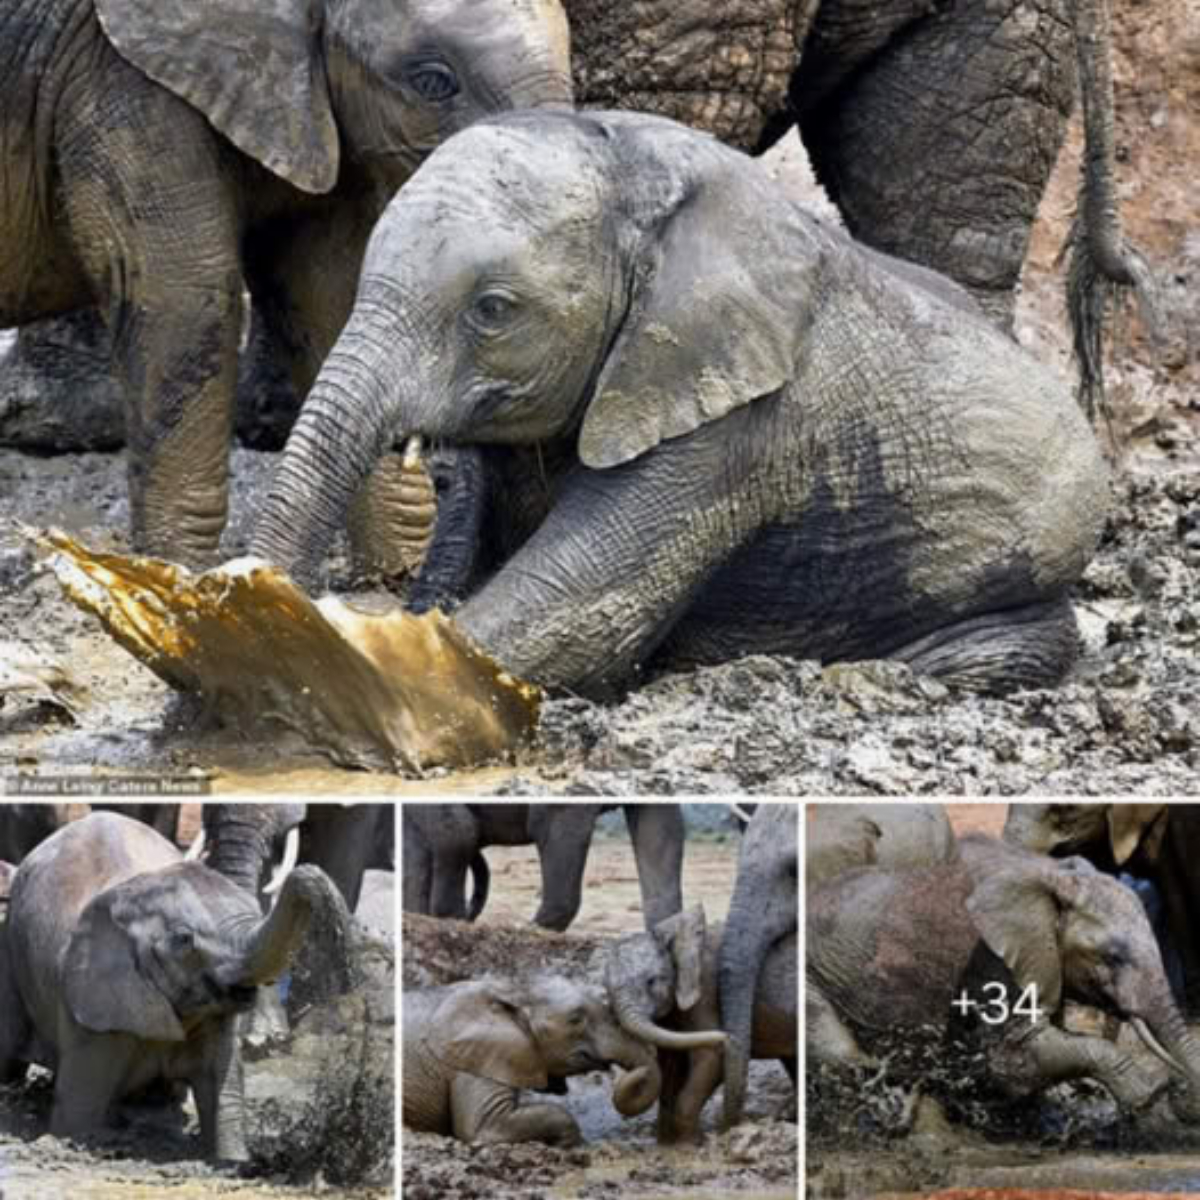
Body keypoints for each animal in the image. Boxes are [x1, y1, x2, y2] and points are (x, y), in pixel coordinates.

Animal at [0, 0, 571, 563]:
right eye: (432, 81)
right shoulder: (119, 79)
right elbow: (187, 303)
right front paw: (175, 571)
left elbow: (328, 294)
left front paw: (392, 575)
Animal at [0, 811, 352, 1160]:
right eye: (184, 940)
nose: (311, 873)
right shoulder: (89, 1004)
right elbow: (77, 1112)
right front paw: (70, 1142)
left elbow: (222, 1090)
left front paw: (232, 1162)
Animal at [403, 974, 661, 1145]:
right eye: (576, 1019)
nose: (639, 1073)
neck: (514, 989)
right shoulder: (471, 1061)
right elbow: (483, 1127)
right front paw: (569, 1145)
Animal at [604, 904, 796, 1144]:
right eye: (607, 990)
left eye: (652, 981)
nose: (728, 1037)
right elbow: (670, 1061)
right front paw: (667, 1143)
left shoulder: (704, 991)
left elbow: (710, 1057)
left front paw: (690, 1144)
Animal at [807, 834, 1200, 1128]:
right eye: (1113, 957)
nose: (1181, 1094)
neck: (1050, 876)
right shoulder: (990, 959)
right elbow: (1013, 1059)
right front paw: (1148, 1097)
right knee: (837, 1051)